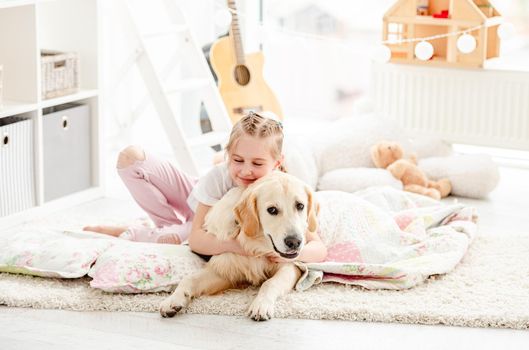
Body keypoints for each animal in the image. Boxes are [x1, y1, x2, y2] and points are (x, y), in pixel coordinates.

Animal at [159, 171, 318, 322]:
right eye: (272, 210)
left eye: (300, 206)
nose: (295, 242)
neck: (255, 245)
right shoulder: (226, 269)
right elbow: (189, 279)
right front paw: (172, 300)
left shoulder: (290, 267)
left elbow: (270, 283)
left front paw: (261, 305)